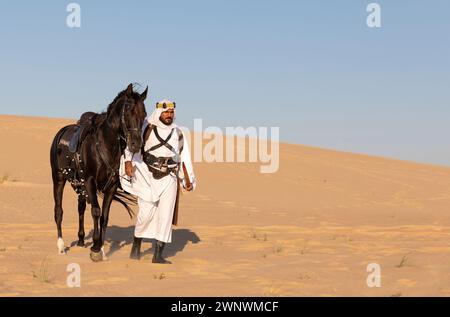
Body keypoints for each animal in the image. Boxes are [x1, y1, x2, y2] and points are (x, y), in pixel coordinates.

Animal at [49, 82, 148, 260]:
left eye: (144, 113)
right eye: (128, 110)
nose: (136, 144)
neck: (105, 144)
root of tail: (60, 133)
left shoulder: (111, 186)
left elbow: (104, 217)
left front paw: (101, 248)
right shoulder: (90, 182)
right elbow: (96, 211)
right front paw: (95, 248)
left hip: (79, 185)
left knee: (80, 207)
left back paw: (81, 240)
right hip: (58, 178)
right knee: (58, 210)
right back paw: (61, 246)